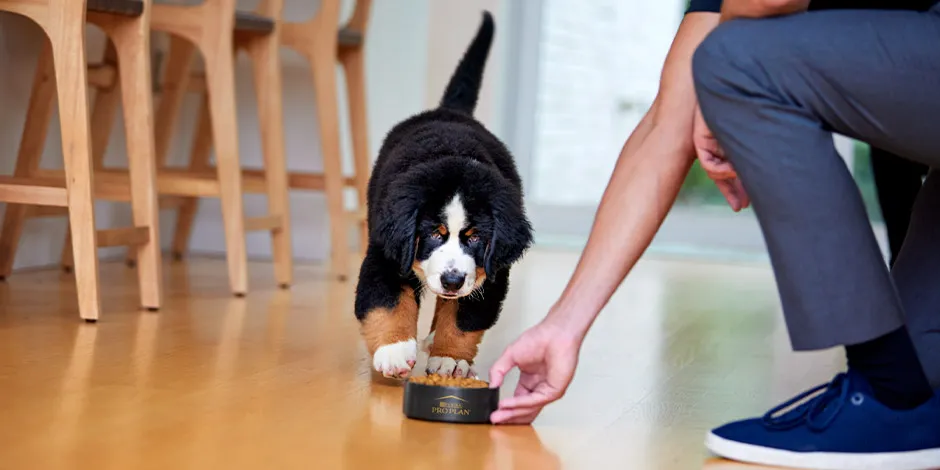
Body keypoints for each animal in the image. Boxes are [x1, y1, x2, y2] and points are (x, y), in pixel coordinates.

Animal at [352, 11, 532, 382]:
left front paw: (449, 358)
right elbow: (386, 300)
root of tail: (451, 112)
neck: (452, 154)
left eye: (475, 237)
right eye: (434, 233)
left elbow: (465, 317)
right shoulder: (387, 251)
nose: (451, 279)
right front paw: (393, 350)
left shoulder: (490, 271)